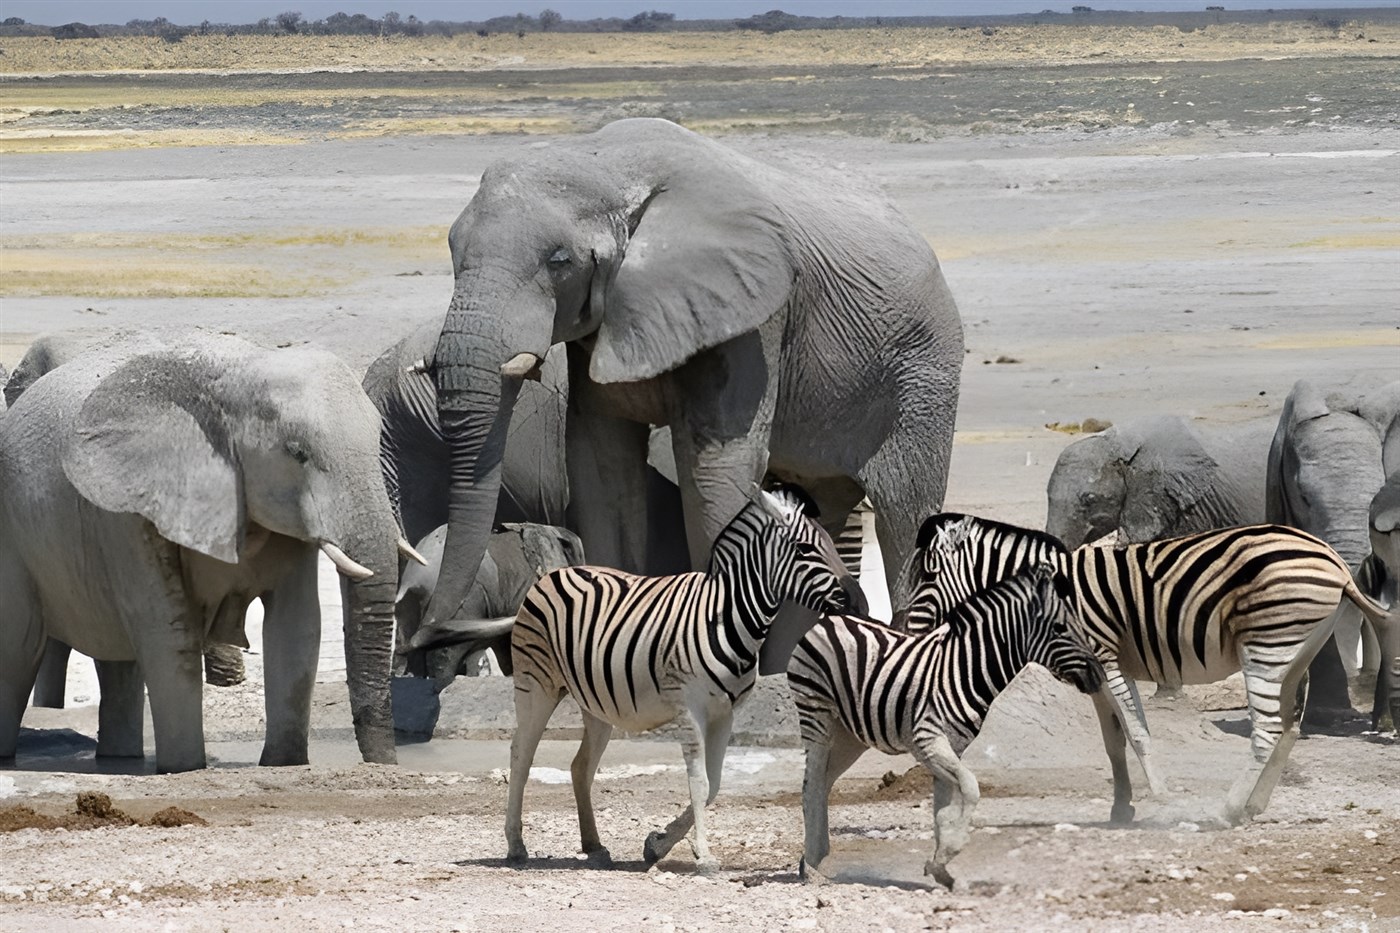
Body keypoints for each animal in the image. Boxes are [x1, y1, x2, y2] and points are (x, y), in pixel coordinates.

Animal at [0, 332, 408, 772]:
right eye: (297, 452)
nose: (383, 766)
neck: (240, 372)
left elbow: (296, 627)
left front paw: (284, 766)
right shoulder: (127, 513)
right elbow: (168, 630)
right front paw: (183, 768)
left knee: (117, 667)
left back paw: (119, 759)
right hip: (13, 531)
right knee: (19, 650)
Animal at [423, 117, 963, 631]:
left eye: (560, 261)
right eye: (450, 248)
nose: (427, 622)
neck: (608, 163)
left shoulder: (750, 318)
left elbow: (715, 471)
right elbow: (600, 463)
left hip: (923, 373)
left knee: (904, 517)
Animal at [505, 485, 858, 869]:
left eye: (831, 544)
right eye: (805, 549)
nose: (856, 600)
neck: (727, 617)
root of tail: (554, 573)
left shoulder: (725, 714)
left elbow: (714, 783)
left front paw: (659, 844)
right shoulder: (691, 710)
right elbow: (699, 783)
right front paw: (703, 854)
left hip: (595, 703)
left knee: (580, 765)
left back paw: (594, 846)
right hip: (536, 684)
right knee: (521, 755)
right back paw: (516, 846)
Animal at [787, 563, 1104, 888]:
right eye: (1060, 628)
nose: (1098, 676)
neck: (966, 668)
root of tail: (831, 618)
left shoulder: (952, 748)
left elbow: (943, 807)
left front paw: (941, 867)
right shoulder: (927, 740)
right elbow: (971, 788)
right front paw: (952, 849)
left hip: (852, 736)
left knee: (824, 782)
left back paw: (815, 858)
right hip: (817, 715)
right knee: (811, 785)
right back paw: (810, 868)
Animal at [903, 512, 1392, 825]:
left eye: (926, 577)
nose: (908, 630)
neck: (1053, 592)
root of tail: (1333, 561)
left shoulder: (1104, 658)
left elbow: (1137, 732)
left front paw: (1160, 796)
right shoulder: (1095, 674)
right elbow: (1113, 743)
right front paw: (1121, 808)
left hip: (1267, 647)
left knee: (1269, 730)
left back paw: (1227, 810)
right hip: (1295, 652)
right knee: (1289, 727)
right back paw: (1253, 807)